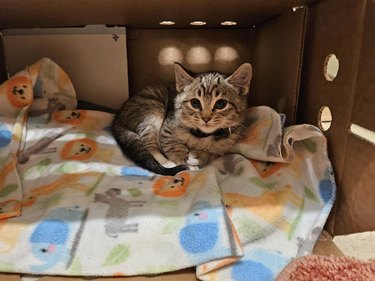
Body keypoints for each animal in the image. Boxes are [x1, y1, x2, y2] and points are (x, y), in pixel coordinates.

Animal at [111, 62, 253, 174]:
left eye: (221, 104)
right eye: (195, 103)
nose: (206, 118)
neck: (202, 136)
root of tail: (118, 117)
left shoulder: (224, 148)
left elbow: (212, 154)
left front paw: (198, 156)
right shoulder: (167, 128)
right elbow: (173, 146)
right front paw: (184, 160)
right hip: (153, 108)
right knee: (148, 143)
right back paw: (167, 163)